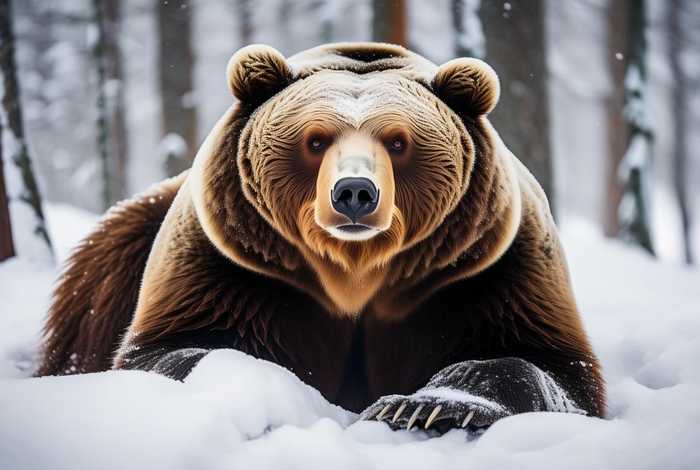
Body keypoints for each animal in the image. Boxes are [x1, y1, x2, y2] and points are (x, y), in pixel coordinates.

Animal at [38, 42, 605, 434]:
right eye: (314, 141)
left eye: (398, 142)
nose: (354, 192)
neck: (356, 270)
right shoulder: (230, 265)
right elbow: (170, 349)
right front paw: (265, 385)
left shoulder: (480, 268)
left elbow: (542, 362)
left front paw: (424, 406)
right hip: (125, 247)